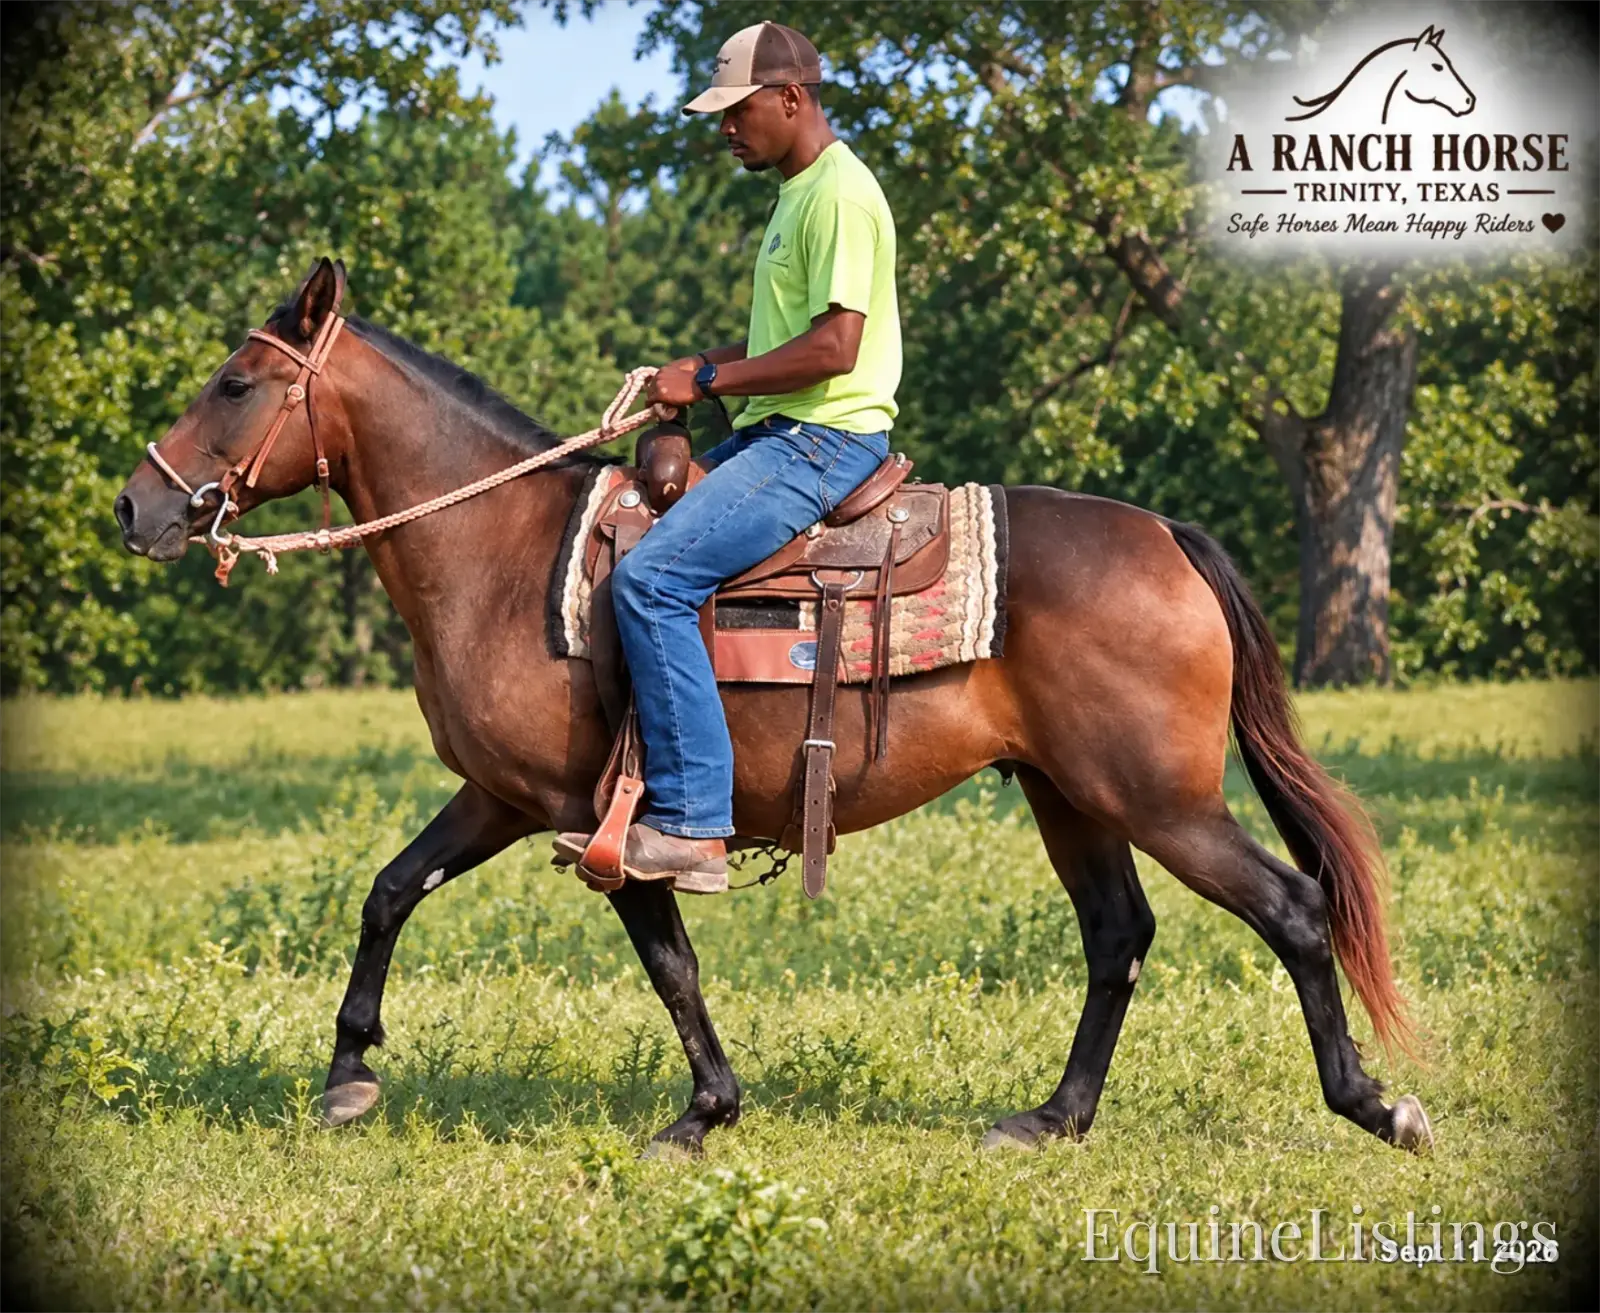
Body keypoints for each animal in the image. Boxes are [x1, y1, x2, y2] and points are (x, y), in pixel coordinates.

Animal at [113, 258, 1432, 1155]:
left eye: (236, 382)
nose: (139, 506)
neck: (504, 555)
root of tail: (1164, 533)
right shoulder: (501, 795)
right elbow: (389, 889)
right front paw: (349, 1070)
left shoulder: (602, 817)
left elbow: (670, 963)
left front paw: (703, 1112)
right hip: (1072, 795)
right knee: (1118, 937)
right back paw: (1051, 1116)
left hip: (1159, 797)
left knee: (1293, 908)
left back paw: (1373, 1103)